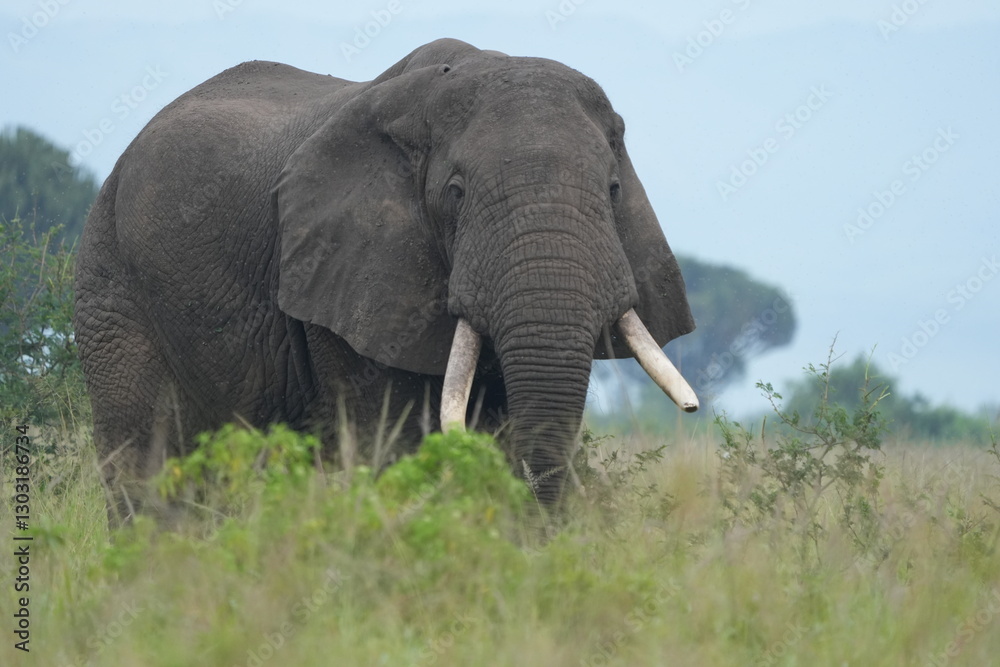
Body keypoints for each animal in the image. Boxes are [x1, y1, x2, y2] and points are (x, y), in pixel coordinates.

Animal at [73, 38, 698, 523]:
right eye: (456, 193)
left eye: (613, 189)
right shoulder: (344, 275)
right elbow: (393, 443)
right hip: (110, 285)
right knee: (143, 458)